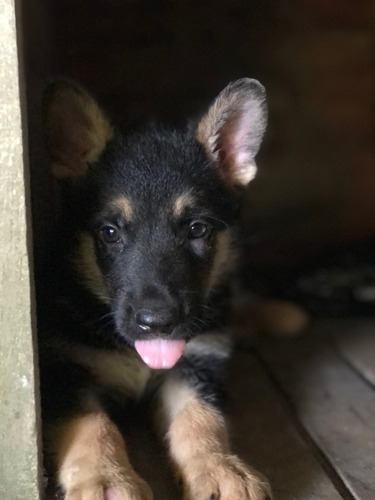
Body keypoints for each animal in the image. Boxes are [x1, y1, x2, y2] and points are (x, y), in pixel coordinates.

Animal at [38, 78, 272, 500]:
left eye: (198, 229)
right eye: (109, 233)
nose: (157, 323)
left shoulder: (195, 366)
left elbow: (200, 418)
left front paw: (220, 466)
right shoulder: (65, 373)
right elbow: (93, 425)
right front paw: (106, 478)